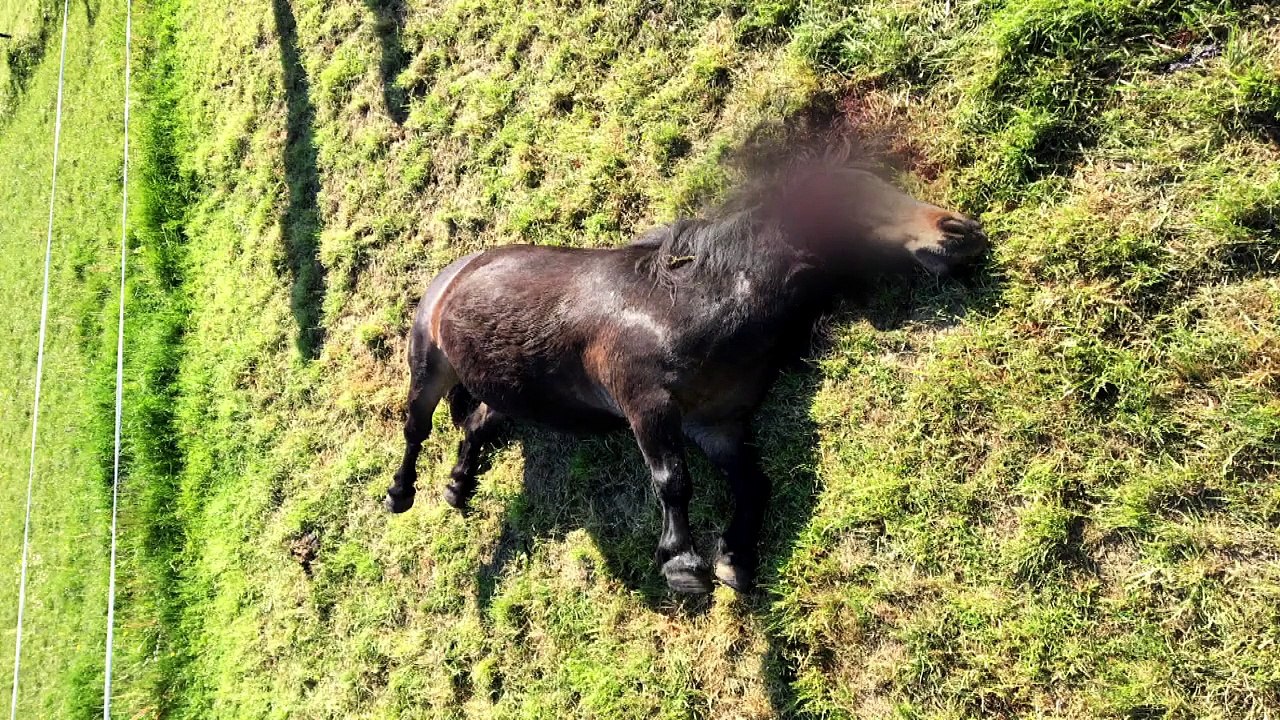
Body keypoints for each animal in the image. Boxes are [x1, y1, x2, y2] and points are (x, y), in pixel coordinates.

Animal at [385, 153, 988, 594]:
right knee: (416, 428)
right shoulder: (644, 402)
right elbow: (673, 479)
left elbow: (754, 482)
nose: (962, 231)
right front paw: (683, 564)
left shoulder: (717, 424)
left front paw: (735, 555)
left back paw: (458, 485)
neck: (690, 300)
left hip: (506, 390)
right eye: (853, 197)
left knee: (476, 424)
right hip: (428, 363)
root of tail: (454, 272)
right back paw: (400, 493)